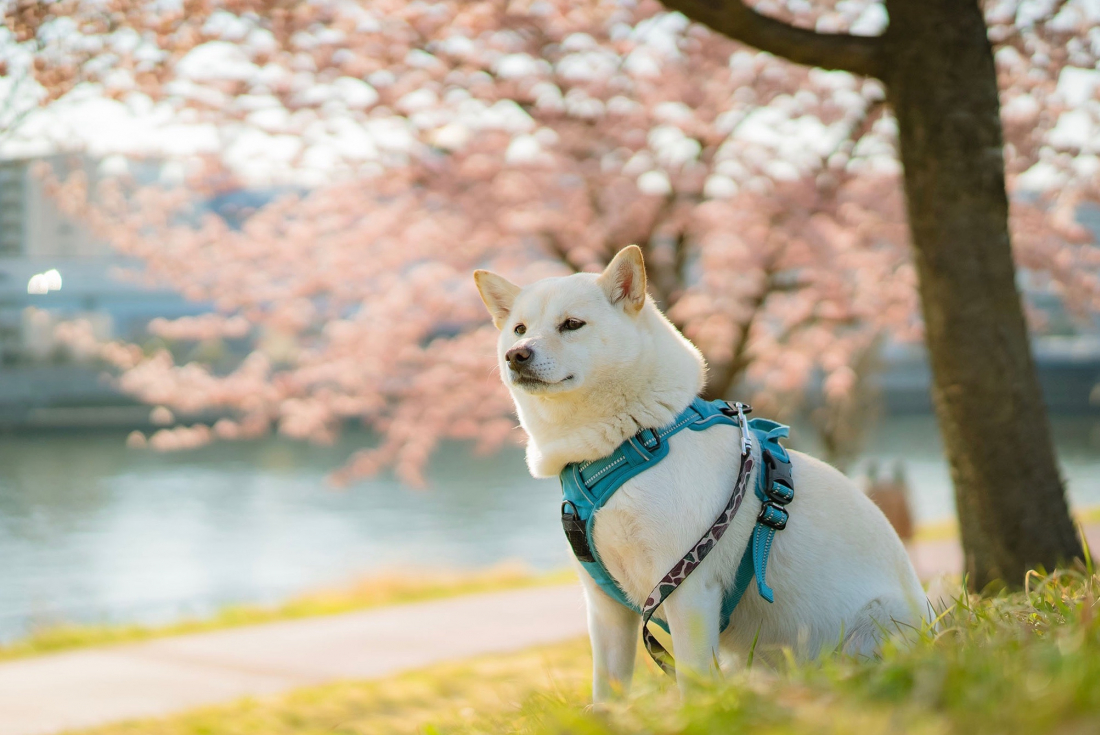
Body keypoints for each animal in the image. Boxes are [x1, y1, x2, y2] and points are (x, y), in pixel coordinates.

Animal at [473, 244, 928, 699]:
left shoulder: (687, 589)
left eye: (571, 324)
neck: (631, 443)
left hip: (877, 624)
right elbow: (608, 692)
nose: (517, 354)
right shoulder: (606, 607)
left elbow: (692, 682)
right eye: (519, 329)